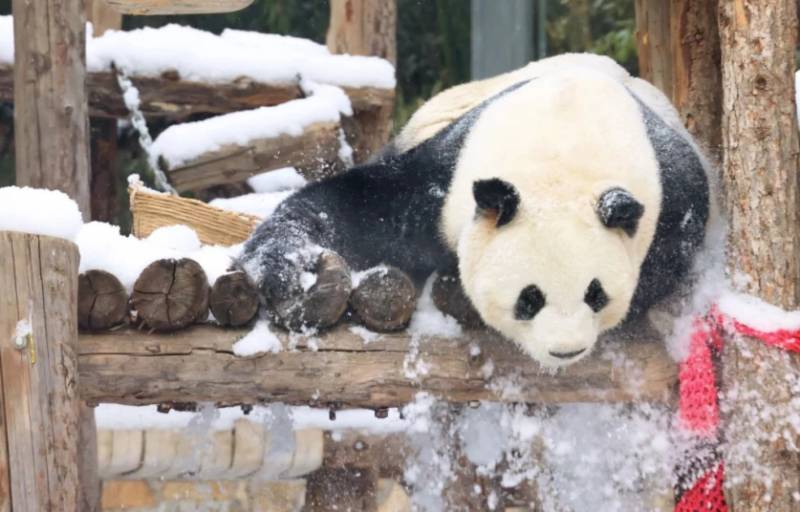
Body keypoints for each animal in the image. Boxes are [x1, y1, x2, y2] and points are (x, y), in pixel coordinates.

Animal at [239, 54, 712, 368]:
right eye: (529, 298)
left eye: (596, 293)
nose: (565, 350)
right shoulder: (446, 177)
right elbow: (360, 208)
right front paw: (286, 268)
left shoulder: (672, 191)